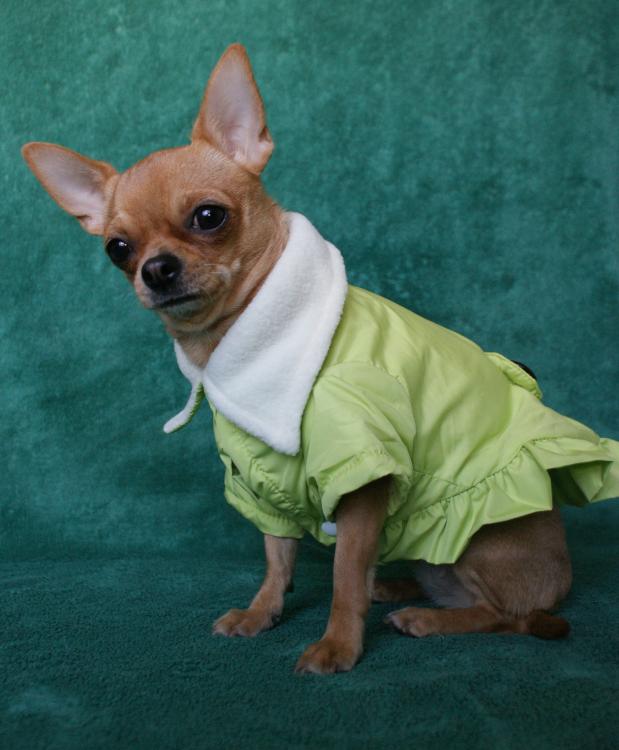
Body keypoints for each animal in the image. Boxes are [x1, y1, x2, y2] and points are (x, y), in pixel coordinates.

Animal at [22, 44, 619, 674]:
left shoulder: (362, 483)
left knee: (506, 617)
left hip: (478, 539)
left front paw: (337, 645)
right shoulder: (262, 482)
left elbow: (343, 576)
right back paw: (399, 588)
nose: (155, 269)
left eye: (209, 217)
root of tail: (560, 579)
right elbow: (277, 558)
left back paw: (427, 618)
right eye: (118, 249)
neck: (236, 345)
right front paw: (261, 613)